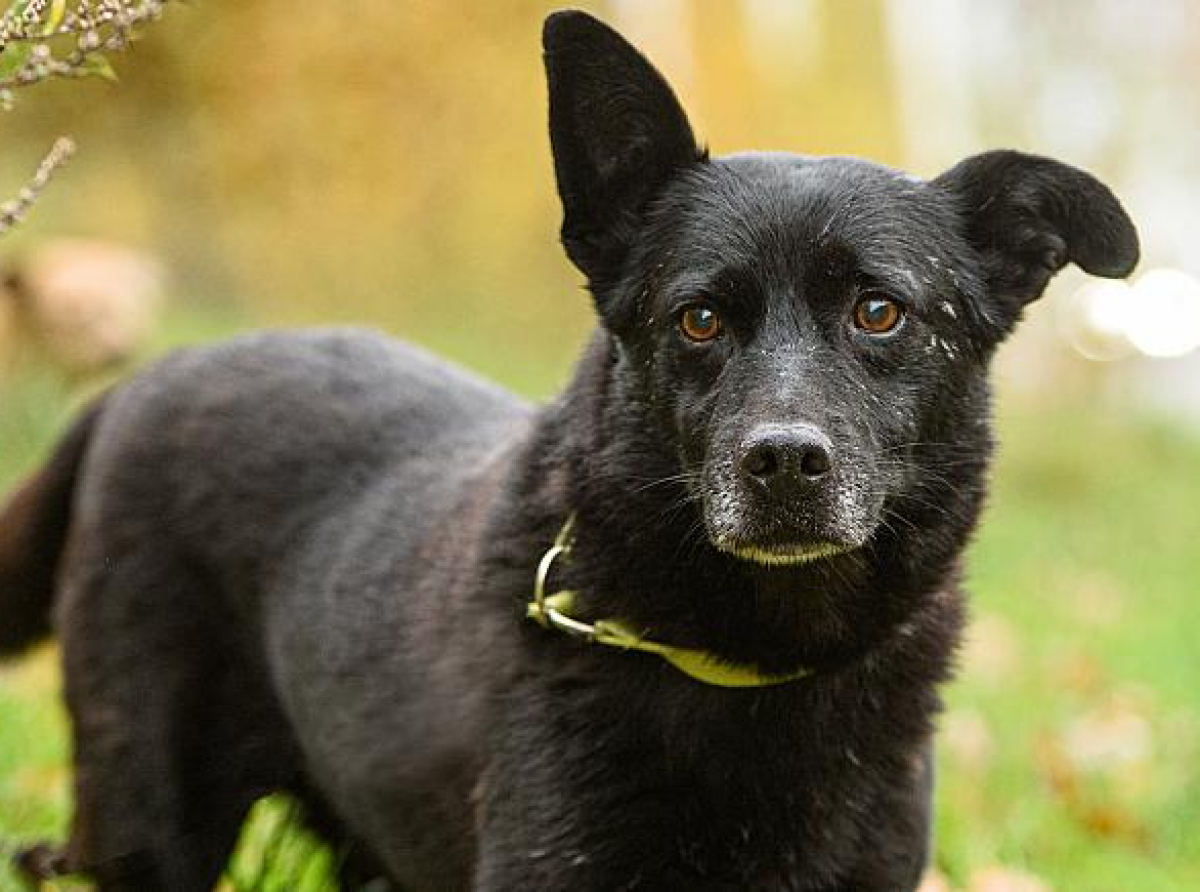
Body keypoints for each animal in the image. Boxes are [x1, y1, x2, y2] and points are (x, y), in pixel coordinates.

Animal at [0, 8, 1132, 892]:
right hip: (151, 811)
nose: (783, 463)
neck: (752, 659)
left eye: (881, 311)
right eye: (699, 319)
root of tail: (140, 383)